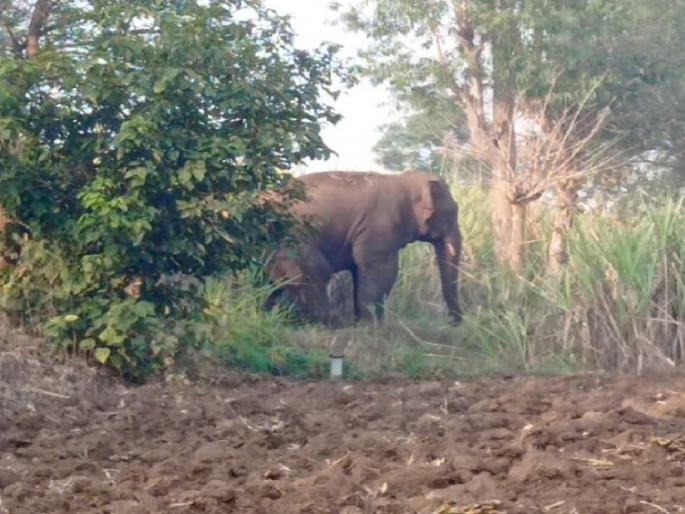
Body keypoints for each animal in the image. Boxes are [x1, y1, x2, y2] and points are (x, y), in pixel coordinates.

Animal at [265, 171, 463, 325]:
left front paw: (364, 323)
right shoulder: (378, 227)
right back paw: (333, 324)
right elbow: (382, 271)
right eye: (452, 213)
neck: (406, 179)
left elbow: (359, 270)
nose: (452, 322)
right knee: (314, 273)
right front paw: (373, 326)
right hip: (292, 240)